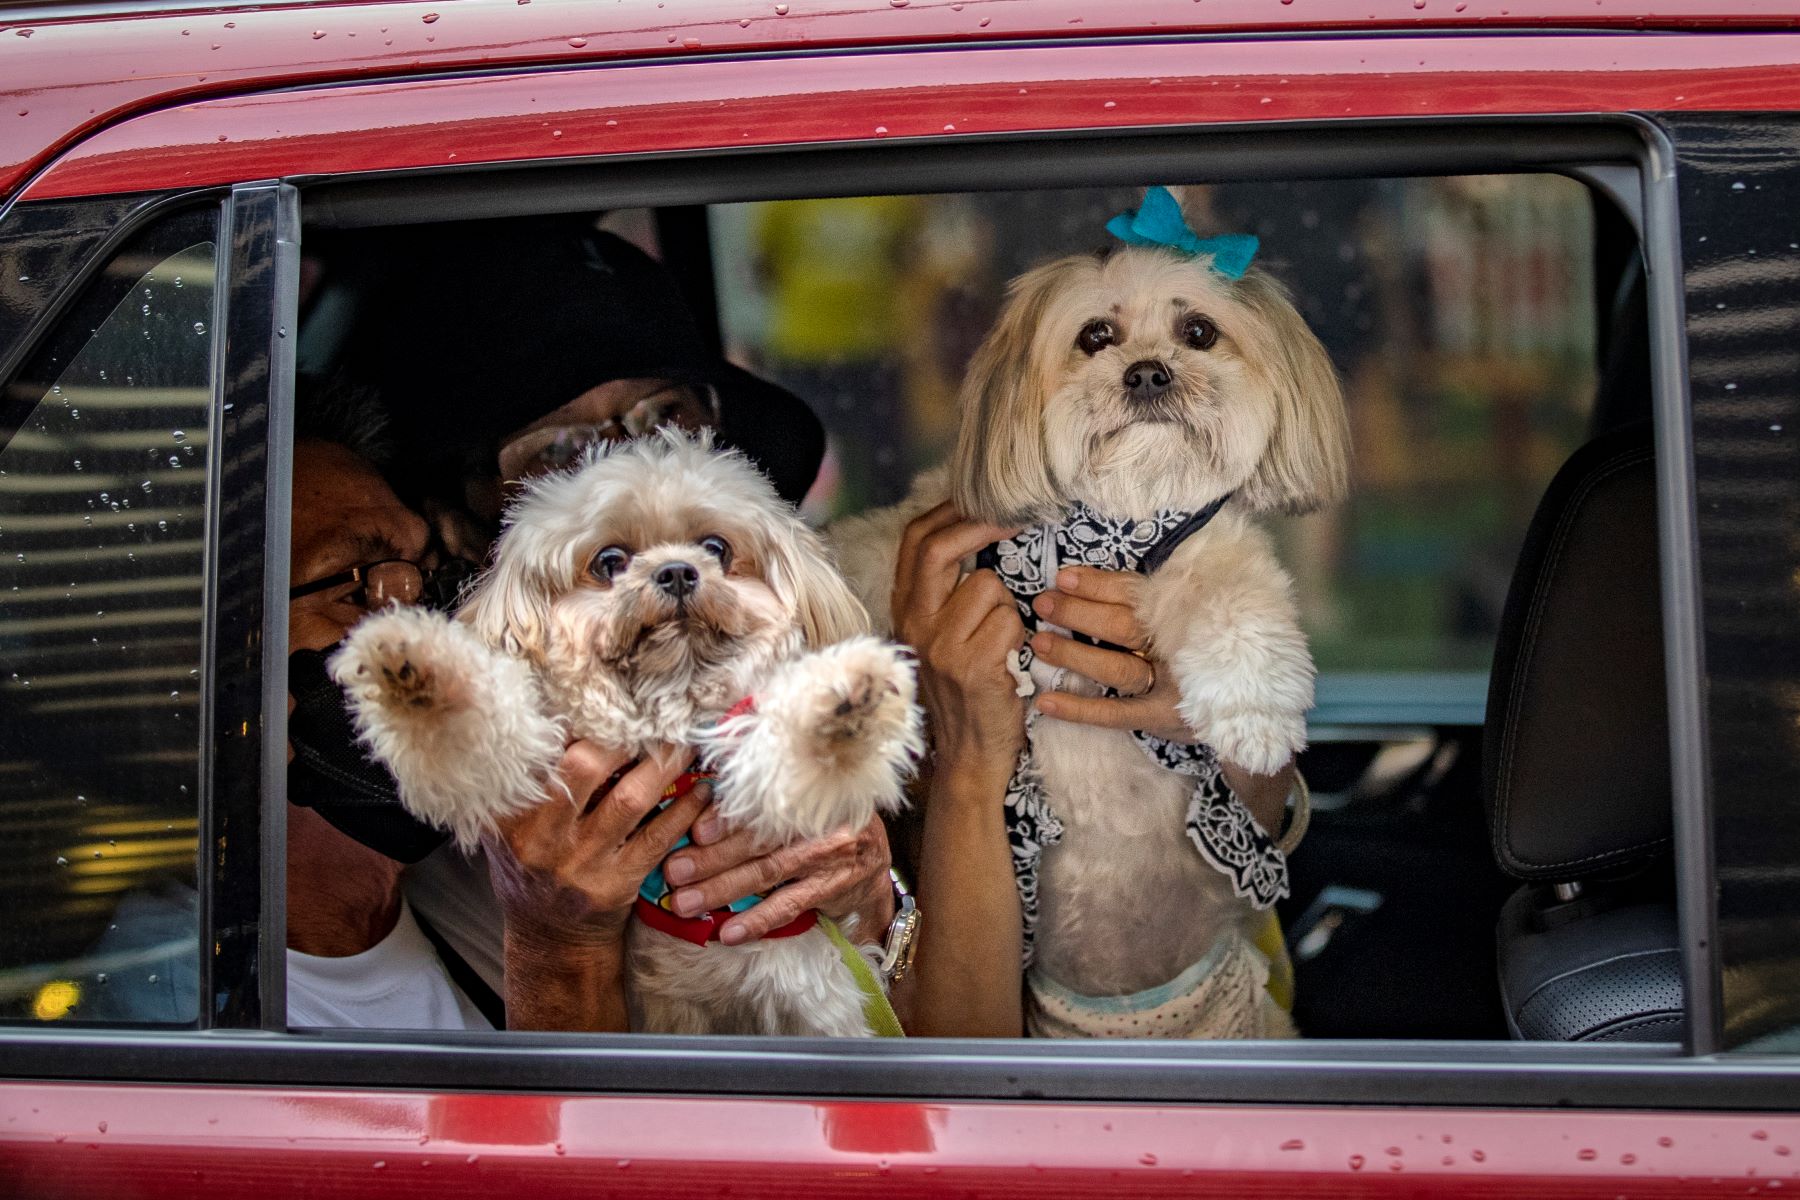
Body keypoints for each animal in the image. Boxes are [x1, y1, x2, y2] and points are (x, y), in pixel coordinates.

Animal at [325, 429, 921, 1036]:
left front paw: (845, 695)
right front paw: (413, 667)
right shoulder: (525, 757)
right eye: (609, 562)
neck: (667, 708)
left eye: (716, 548)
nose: (678, 571)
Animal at [835, 188, 1346, 1043]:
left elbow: (1239, 603)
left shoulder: (1204, 550)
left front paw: (1255, 714)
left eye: (1198, 332)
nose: (1148, 371)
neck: (1111, 524)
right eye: (1095, 337)